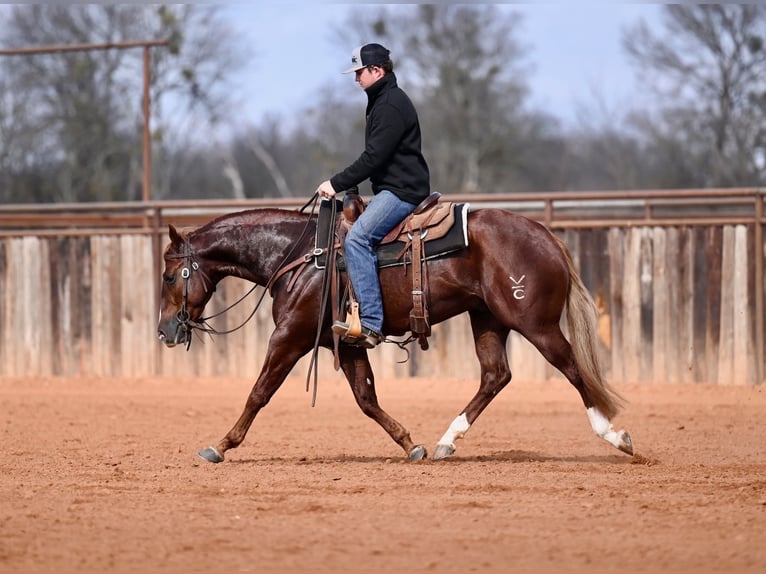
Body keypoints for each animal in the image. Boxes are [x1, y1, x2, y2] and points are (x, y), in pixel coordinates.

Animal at [156, 204, 633, 463]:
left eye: (168, 275)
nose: (164, 331)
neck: (299, 254)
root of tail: (546, 236)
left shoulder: (289, 336)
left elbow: (258, 393)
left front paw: (221, 445)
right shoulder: (343, 342)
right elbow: (367, 398)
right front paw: (410, 444)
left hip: (535, 324)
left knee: (573, 369)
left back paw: (615, 436)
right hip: (487, 319)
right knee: (496, 375)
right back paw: (446, 442)